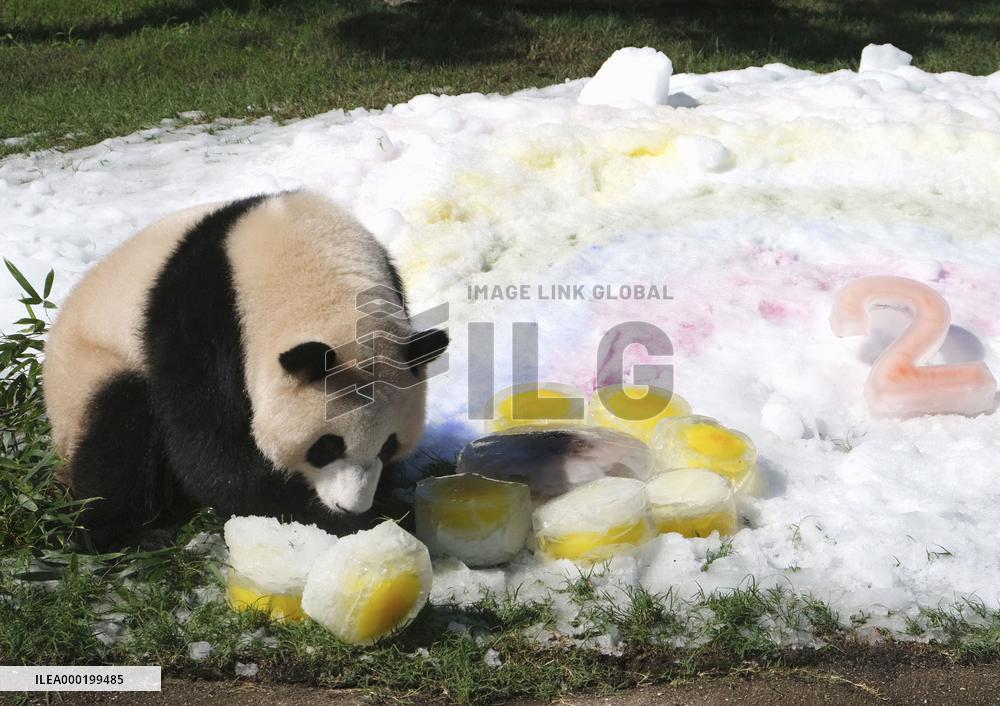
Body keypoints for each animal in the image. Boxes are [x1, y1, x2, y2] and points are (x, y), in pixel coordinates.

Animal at [43, 190, 448, 550]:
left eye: (389, 445)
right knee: (117, 436)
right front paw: (334, 518)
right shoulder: (202, 323)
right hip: (90, 367)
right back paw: (125, 534)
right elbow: (209, 448)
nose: (350, 505)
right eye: (327, 446)